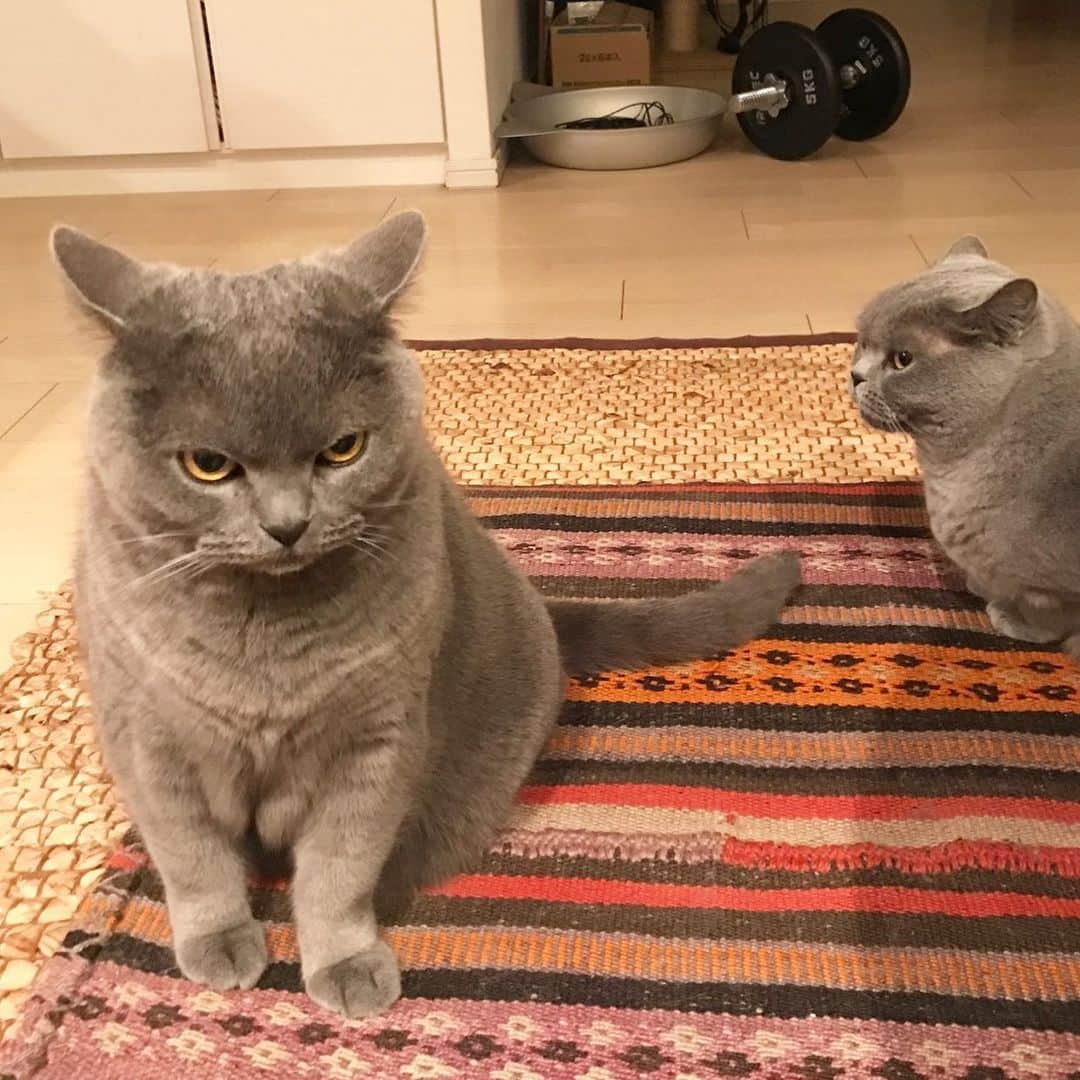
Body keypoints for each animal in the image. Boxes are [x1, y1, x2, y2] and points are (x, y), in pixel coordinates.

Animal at [52, 212, 803, 1019]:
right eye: (208, 466)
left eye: (343, 449)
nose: (288, 525)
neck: (264, 636)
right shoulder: (147, 737)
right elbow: (191, 858)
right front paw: (220, 942)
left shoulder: (380, 737)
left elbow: (339, 867)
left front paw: (345, 962)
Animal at [851, 237, 1080, 656]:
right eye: (862, 342)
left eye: (902, 359)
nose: (855, 375)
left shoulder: (1057, 590)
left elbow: (1048, 615)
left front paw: (1011, 617)